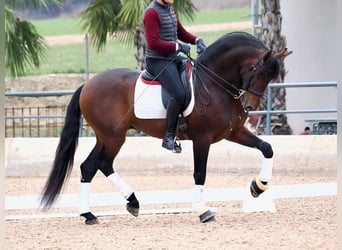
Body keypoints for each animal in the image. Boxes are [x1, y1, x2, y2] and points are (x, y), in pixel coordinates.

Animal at [39, 31, 286, 225]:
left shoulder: (233, 132)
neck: (214, 84)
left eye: (271, 76)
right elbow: (200, 173)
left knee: (91, 166)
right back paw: (112, 207)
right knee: (100, 163)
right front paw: (202, 211)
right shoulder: (202, 139)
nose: (250, 106)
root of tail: (87, 84)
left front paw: (258, 187)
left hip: (106, 136)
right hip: (113, 136)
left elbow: (267, 148)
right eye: (259, 73)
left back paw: (96, 212)